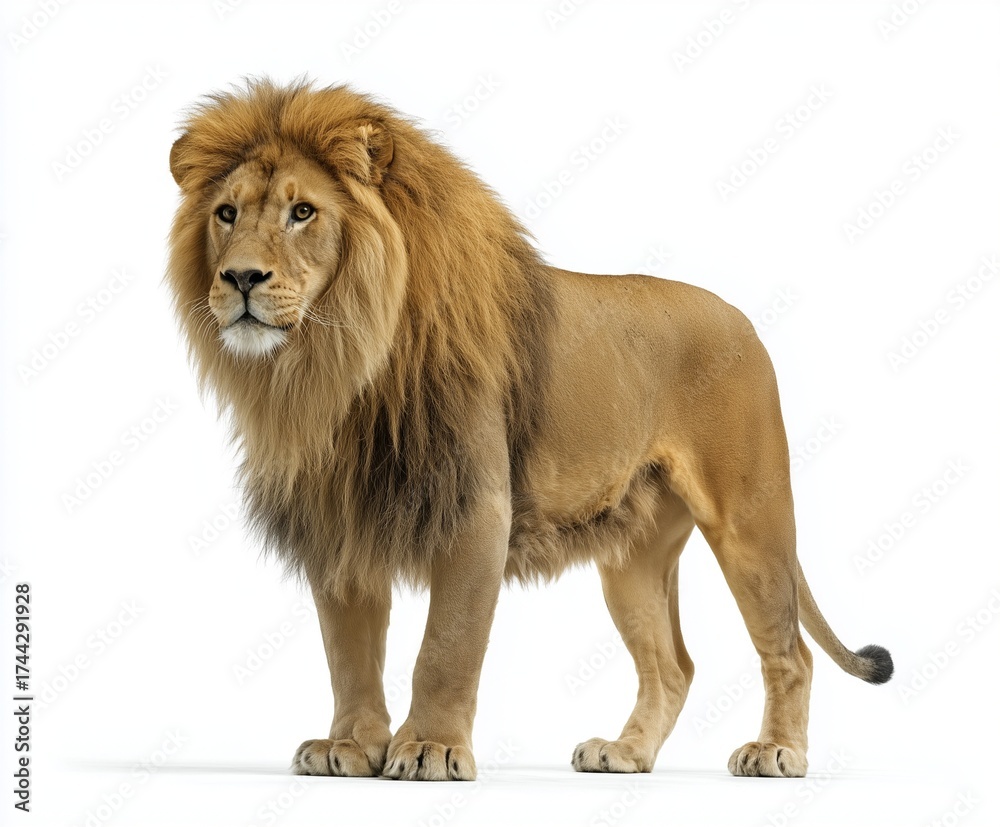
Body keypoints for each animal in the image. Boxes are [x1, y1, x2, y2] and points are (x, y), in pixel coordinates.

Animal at [166, 79, 892, 781]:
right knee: (673, 665)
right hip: (633, 554)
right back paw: (625, 752)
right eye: (226, 213)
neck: (337, 358)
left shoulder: (476, 506)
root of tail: (743, 318)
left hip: (749, 519)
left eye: (303, 212)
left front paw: (430, 749)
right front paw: (349, 745)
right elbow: (348, 652)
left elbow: (445, 646)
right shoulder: (340, 518)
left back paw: (777, 753)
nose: (240, 277)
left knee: (790, 649)